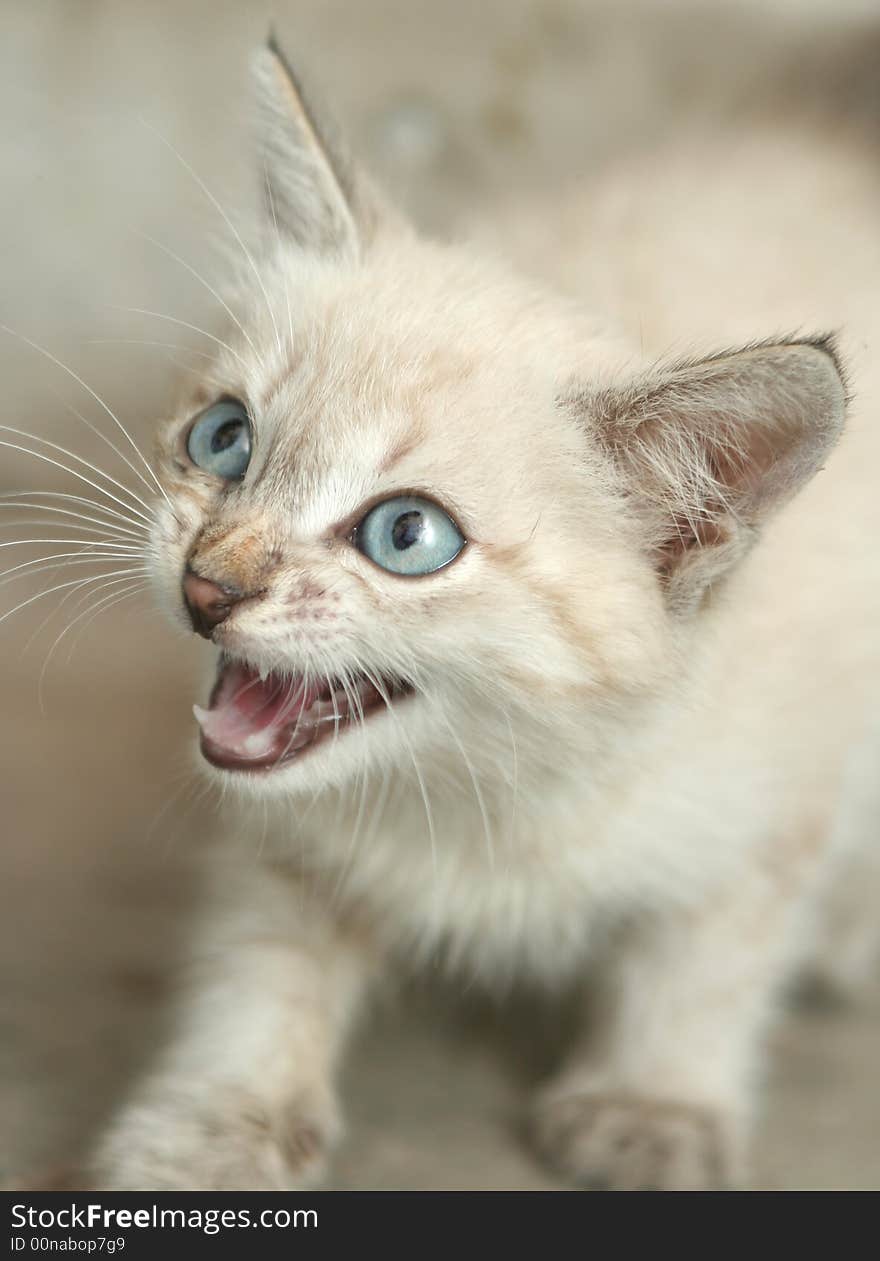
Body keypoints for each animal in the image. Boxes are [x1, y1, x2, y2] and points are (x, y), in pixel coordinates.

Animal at [83, 34, 877, 1185]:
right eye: (224, 439)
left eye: (406, 536)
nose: (207, 585)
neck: (485, 788)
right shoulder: (282, 835)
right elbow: (259, 953)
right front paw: (220, 1115)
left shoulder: (784, 789)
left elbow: (705, 956)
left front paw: (654, 1103)